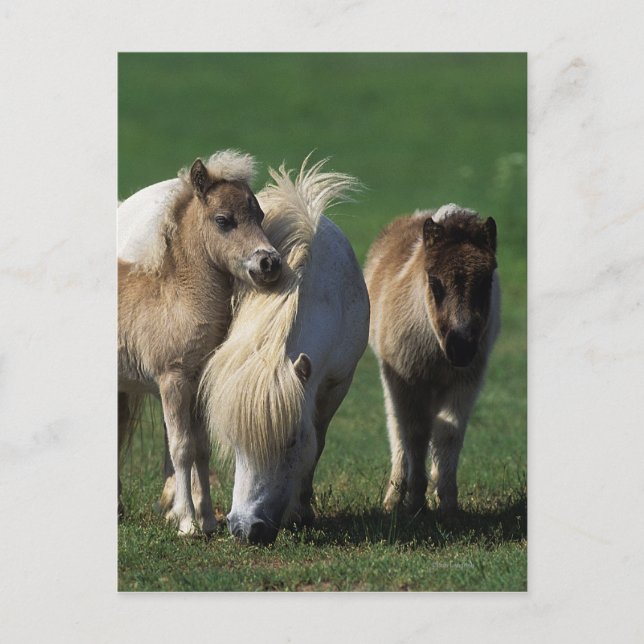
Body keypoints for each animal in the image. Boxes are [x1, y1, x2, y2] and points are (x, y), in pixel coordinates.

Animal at [118, 150, 282, 536]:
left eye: (259, 215)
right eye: (223, 220)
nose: (269, 262)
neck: (177, 298)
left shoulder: (198, 384)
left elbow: (203, 449)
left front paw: (207, 520)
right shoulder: (173, 380)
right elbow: (181, 448)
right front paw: (188, 524)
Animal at [364, 204, 500, 516]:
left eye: (486, 281)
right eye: (435, 283)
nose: (461, 347)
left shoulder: (466, 381)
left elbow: (448, 432)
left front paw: (448, 503)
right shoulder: (407, 379)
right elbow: (415, 433)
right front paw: (415, 500)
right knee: (398, 429)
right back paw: (393, 497)